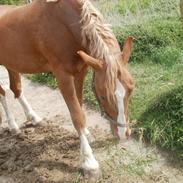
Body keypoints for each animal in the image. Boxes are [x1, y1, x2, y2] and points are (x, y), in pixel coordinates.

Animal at [0, 0, 134, 174]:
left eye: (131, 89)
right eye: (103, 95)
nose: (124, 134)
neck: (64, 25)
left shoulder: (80, 72)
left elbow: (80, 105)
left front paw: (86, 134)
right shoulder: (63, 76)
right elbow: (76, 115)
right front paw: (89, 161)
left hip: (11, 64)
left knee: (16, 88)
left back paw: (34, 118)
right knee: (3, 92)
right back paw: (12, 125)